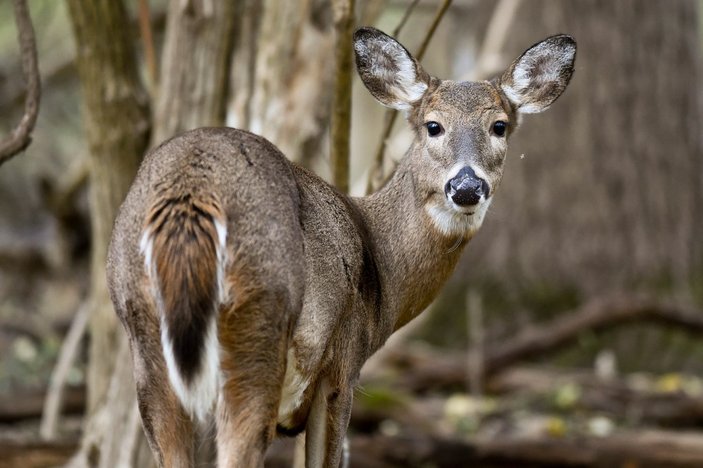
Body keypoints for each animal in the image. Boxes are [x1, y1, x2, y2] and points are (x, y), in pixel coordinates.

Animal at [106, 26, 576, 468]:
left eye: (499, 126)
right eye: (433, 125)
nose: (466, 187)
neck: (379, 266)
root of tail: (193, 189)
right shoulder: (341, 369)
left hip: (145, 340)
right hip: (258, 322)